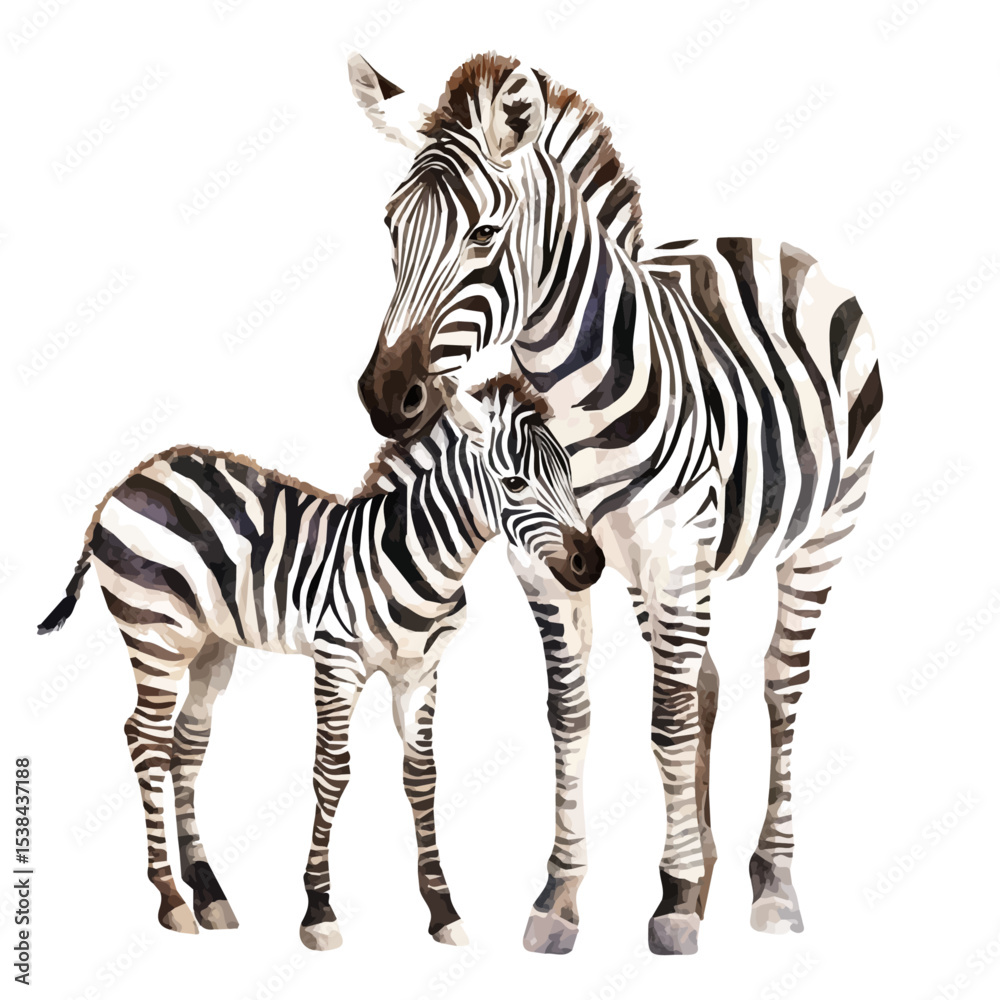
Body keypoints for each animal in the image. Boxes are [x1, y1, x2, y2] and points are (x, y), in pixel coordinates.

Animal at [37, 376, 604, 950]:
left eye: (570, 474)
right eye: (514, 483)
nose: (591, 563)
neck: (412, 556)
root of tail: (133, 477)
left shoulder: (420, 671)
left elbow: (422, 776)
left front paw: (442, 909)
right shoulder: (337, 661)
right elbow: (332, 772)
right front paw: (318, 908)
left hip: (212, 641)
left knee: (186, 743)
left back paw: (208, 891)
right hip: (157, 630)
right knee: (144, 738)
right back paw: (171, 897)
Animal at [348, 51, 883, 955]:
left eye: (483, 234)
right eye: (391, 228)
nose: (389, 397)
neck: (571, 405)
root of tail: (761, 242)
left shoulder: (673, 545)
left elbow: (666, 718)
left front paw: (674, 901)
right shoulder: (549, 561)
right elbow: (571, 714)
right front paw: (563, 896)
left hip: (822, 532)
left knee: (781, 680)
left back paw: (771, 883)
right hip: (648, 568)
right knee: (703, 677)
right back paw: (709, 861)